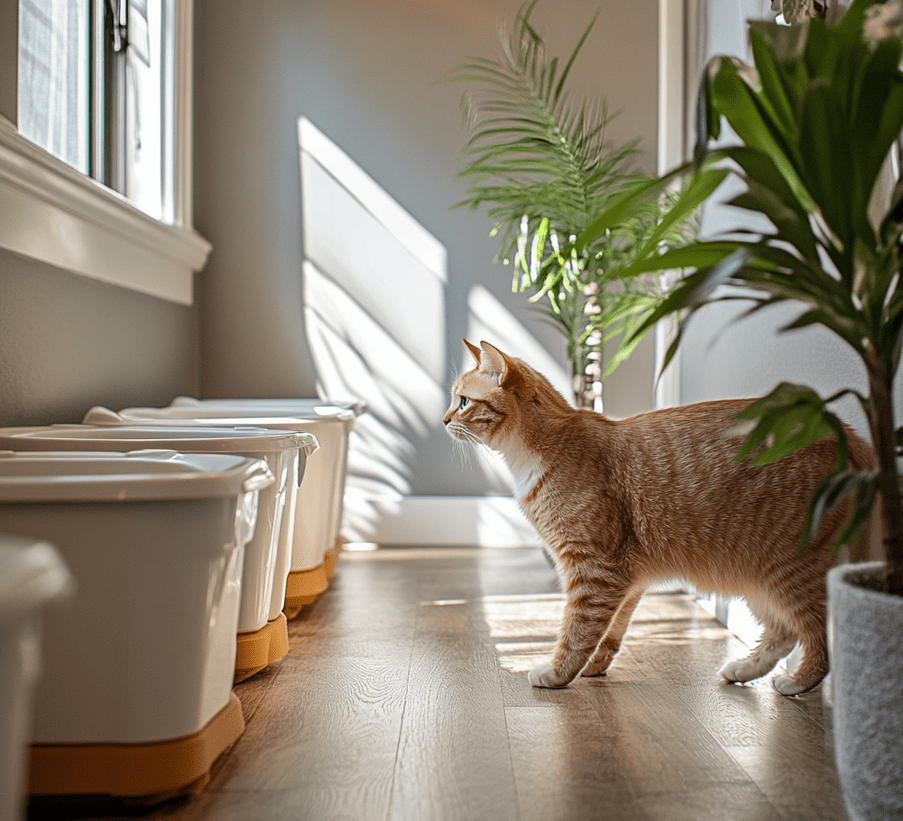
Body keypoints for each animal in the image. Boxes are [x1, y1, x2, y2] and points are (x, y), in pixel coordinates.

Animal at [444, 340, 876, 692]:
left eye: (463, 402)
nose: (445, 420)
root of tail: (840, 429)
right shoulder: (626, 578)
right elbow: (610, 631)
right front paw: (595, 666)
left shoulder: (594, 569)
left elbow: (578, 630)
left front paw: (558, 673)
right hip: (757, 578)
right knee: (783, 632)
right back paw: (743, 669)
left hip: (788, 567)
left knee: (820, 632)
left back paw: (798, 682)